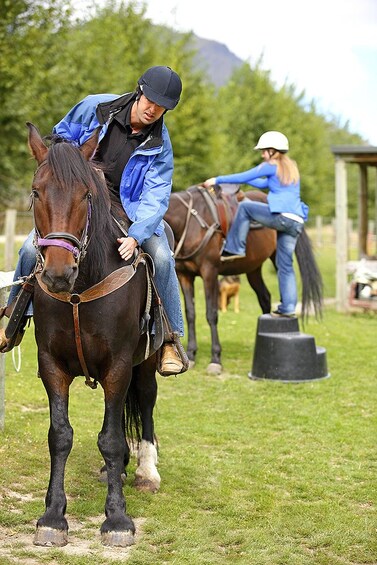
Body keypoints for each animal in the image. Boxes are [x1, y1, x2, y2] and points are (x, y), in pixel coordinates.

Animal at [26, 124, 162, 548]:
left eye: (86, 194)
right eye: (36, 191)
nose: (58, 270)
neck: (78, 290)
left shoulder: (119, 366)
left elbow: (113, 438)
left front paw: (117, 518)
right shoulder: (50, 365)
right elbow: (60, 435)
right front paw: (53, 516)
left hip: (145, 362)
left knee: (145, 401)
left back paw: (146, 471)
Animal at [163, 183, 322, 372]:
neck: (190, 223)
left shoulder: (210, 273)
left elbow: (211, 314)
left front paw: (215, 358)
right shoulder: (185, 276)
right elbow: (190, 314)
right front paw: (192, 354)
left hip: (278, 258)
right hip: (254, 269)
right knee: (264, 298)